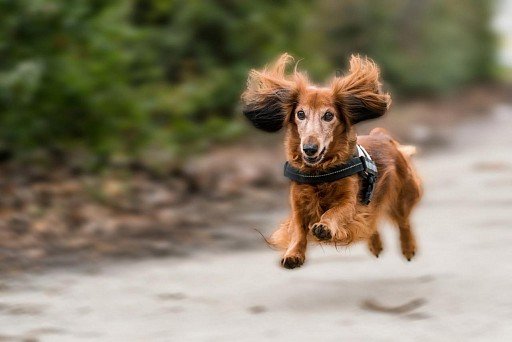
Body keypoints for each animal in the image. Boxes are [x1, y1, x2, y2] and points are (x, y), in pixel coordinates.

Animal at [242, 53, 422, 268]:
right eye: (300, 114)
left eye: (328, 115)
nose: (309, 149)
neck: (320, 173)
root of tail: (383, 136)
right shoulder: (298, 203)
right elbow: (298, 229)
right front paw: (294, 253)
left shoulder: (350, 203)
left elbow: (334, 212)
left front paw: (324, 227)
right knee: (371, 224)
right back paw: (375, 244)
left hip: (402, 197)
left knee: (403, 222)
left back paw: (408, 247)